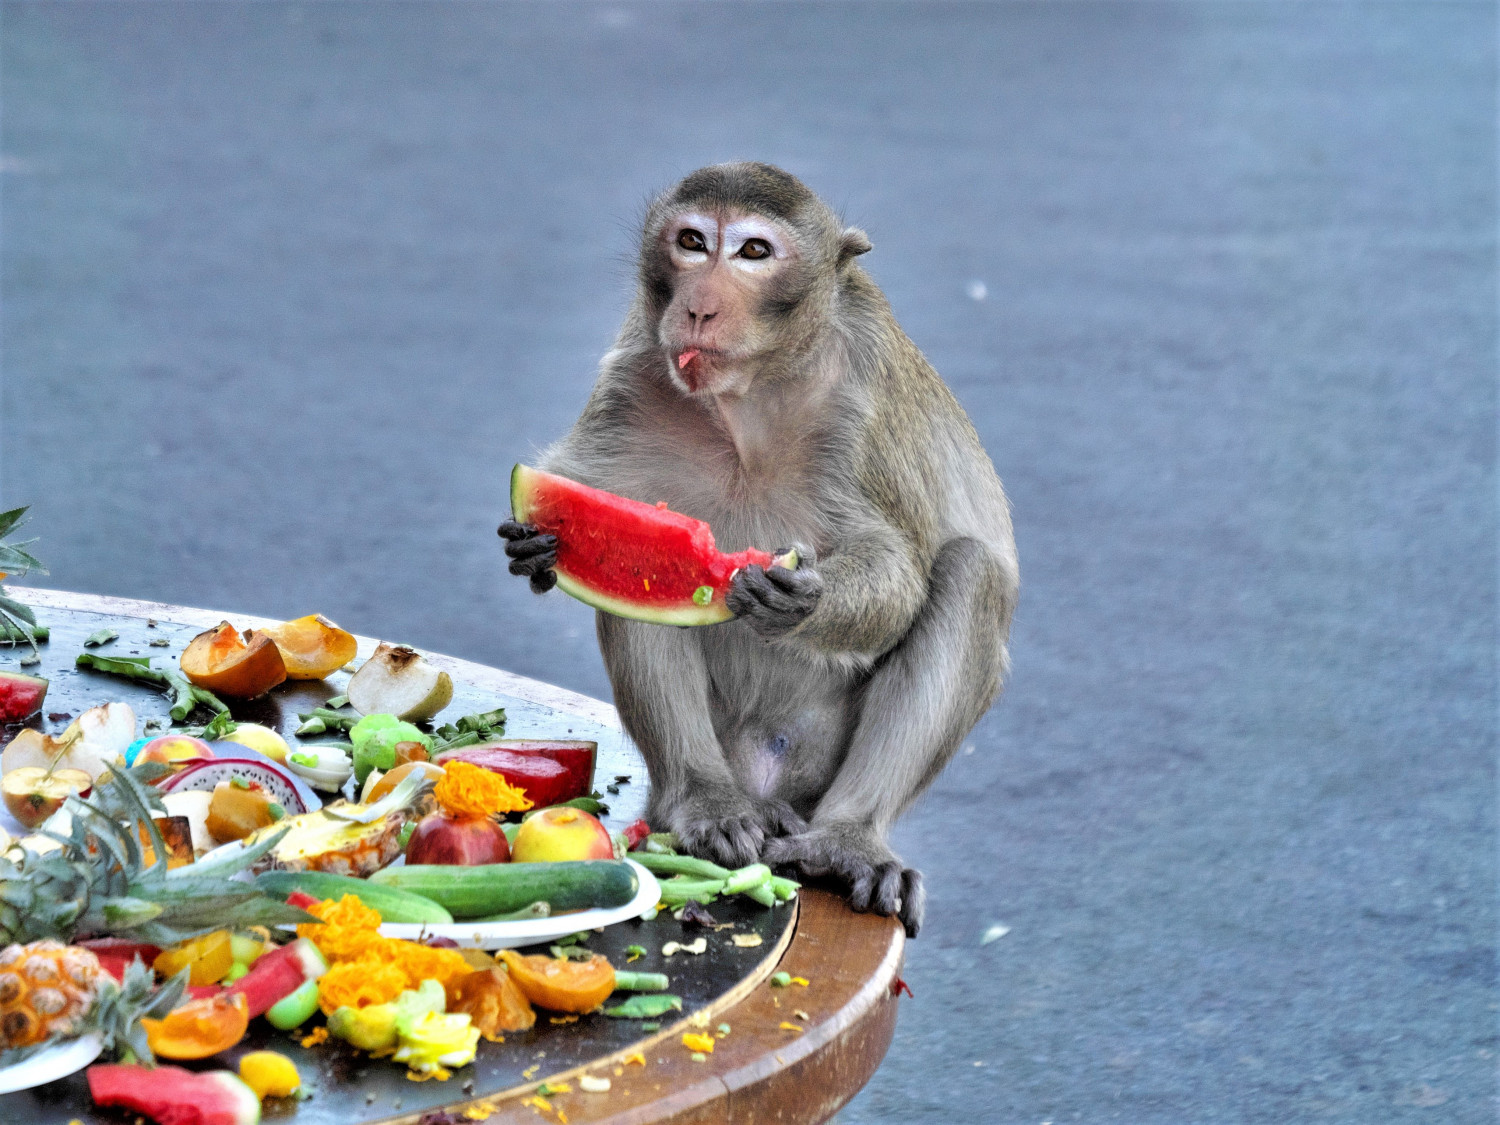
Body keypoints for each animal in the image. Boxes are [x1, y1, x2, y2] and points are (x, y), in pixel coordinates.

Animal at [498, 162, 1014, 936]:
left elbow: (896, 568)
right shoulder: (635, 370)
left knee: (969, 570)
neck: (751, 394)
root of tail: (768, 786)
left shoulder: (862, 405)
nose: (701, 309)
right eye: (691, 242)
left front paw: (805, 601)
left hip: (816, 762)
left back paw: (848, 839)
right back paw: (703, 801)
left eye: (753, 252)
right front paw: (537, 547)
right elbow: (596, 489)